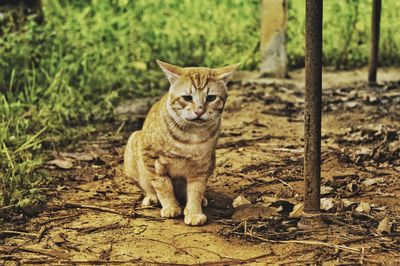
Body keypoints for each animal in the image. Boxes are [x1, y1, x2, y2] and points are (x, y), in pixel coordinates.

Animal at [123, 59, 239, 224]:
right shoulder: (151, 157)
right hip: (134, 144)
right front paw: (171, 206)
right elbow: (163, 186)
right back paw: (152, 197)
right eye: (187, 98)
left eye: (211, 98)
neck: (192, 135)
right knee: (148, 186)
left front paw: (194, 212)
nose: (199, 111)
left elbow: (196, 190)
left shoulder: (201, 166)